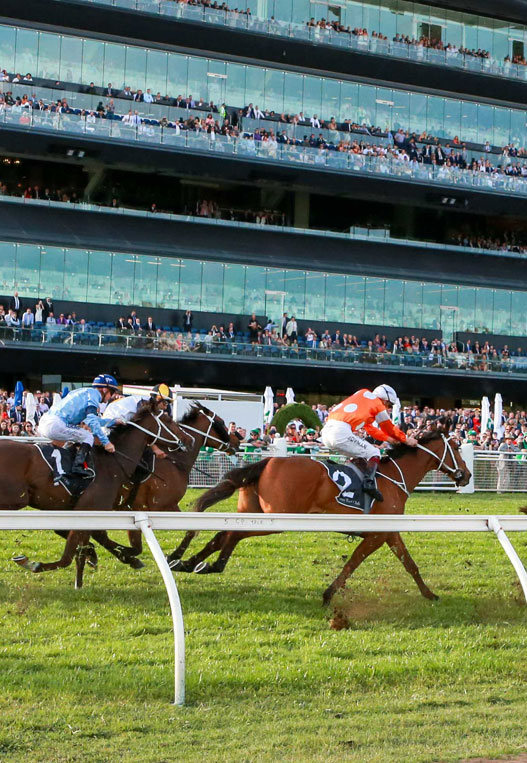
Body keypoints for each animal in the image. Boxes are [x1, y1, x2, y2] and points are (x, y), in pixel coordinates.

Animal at [3, 402, 177, 576]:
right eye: (168, 420)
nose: (182, 441)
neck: (111, 464)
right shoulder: (87, 511)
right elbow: (67, 557)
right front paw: (33, 564)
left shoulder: (82, 514)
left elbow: (84, 547)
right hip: (15, 499)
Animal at [171, 426, 472, 604]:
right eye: (457, 448)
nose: (467, 475)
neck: (394, 477)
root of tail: (268, 460)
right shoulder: (377, 534)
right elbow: (352, 563)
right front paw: (328, 594)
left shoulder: (388, 532)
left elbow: (410, 564)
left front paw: (429, 593)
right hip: (279, 517)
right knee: (233, 533)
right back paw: (209, 564)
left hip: (254, 509)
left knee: (224, 533)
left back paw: (190, 562)